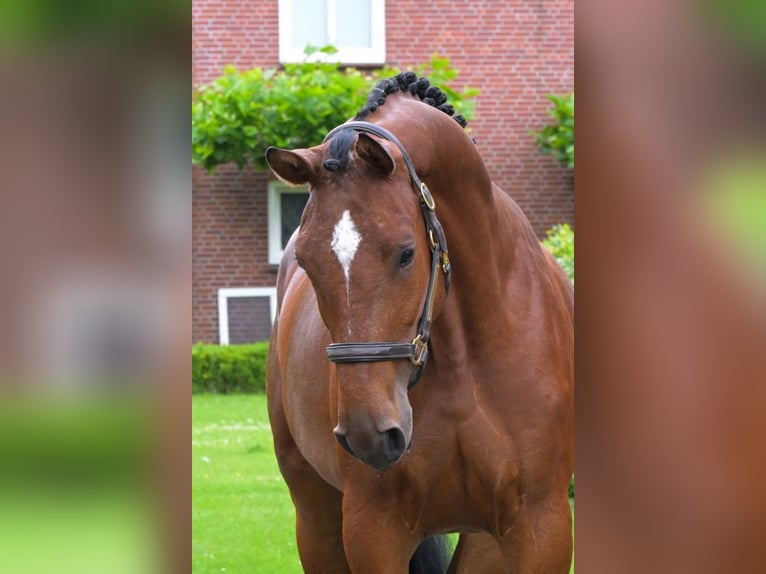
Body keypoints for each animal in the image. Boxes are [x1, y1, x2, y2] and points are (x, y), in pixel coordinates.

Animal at [268, 73, 572, 574]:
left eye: (406, 253)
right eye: (308, 263)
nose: (369, 432)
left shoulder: (538, 527)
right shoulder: (374, 529)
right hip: (316, 521)